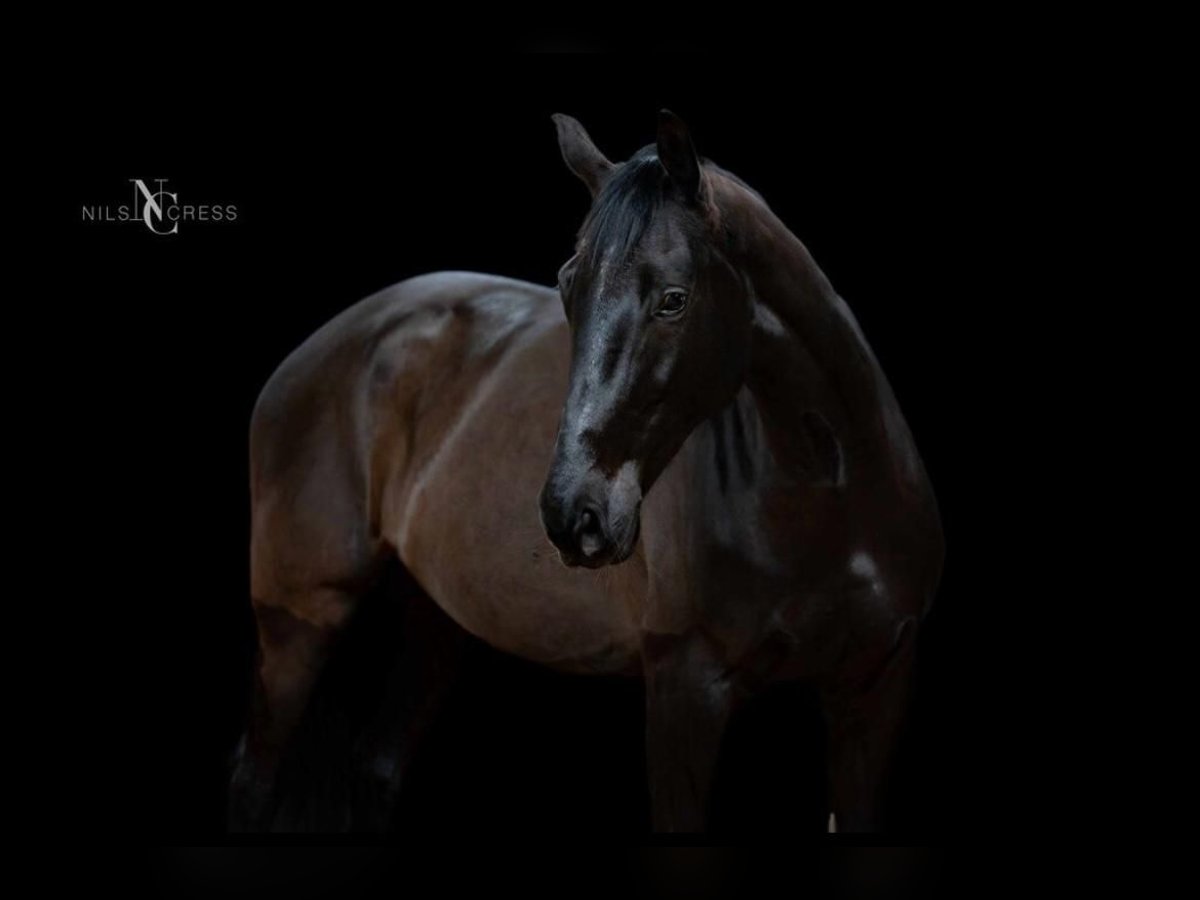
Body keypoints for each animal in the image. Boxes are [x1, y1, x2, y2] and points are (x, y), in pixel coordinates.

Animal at [229, 114, 945, 840]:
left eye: (673, 299)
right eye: (568, 287)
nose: (574, 514)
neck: (829, 497)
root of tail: (322, 347)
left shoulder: (876, 691)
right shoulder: (686, 688)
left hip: (434, 621)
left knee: (377, 766)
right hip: (300, 618)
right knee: (254, 779)